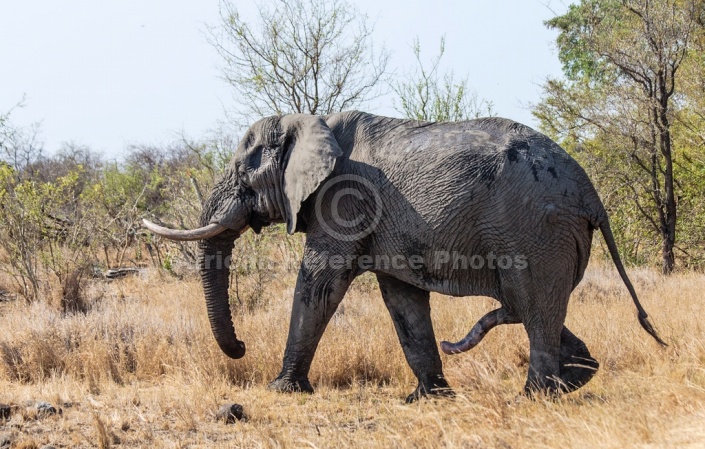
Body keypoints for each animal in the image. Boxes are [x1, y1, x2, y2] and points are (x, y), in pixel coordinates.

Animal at [144, 110, 664, 400]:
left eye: (242, 172)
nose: (240, 347)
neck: (309, 121)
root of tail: (590, 192)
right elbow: (402, 300)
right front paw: (429, 398)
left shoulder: (343, 200)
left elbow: (319, 284)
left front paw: (283, 390)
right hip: (552, 234)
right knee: (536, 306)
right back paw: (575, 380)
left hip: (537, 227)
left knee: (534, 307)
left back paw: (535, 398)